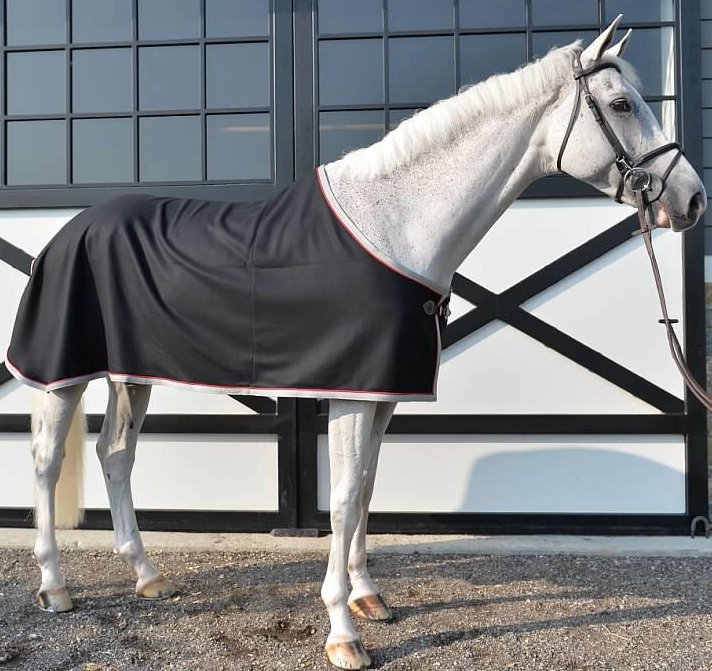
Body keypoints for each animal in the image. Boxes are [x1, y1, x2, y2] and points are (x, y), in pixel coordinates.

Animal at [6, 16, 706, 671]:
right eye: (621, 104)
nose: (692, 199)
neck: (396, 226)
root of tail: (67, 232)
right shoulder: (349, 393)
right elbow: (342, 500)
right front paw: (343, 633)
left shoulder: (384, 395)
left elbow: (367, 487)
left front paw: (369, 596)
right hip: (64, 375)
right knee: (44, 461)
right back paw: (55, 587)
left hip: (133, 375)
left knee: (116, 455)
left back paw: (147, 576)